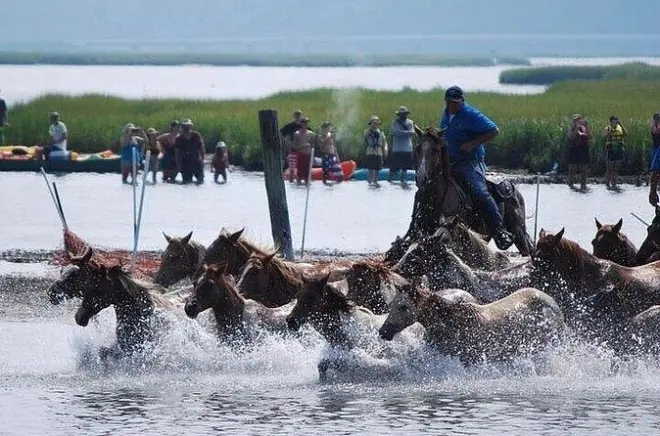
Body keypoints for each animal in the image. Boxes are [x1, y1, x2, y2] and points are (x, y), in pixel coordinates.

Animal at [406, 127, 533, 256]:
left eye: (435, 150)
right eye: (418, 148)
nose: (421, 177)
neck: (436, 200)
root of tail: (513, 188)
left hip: (518, 230)